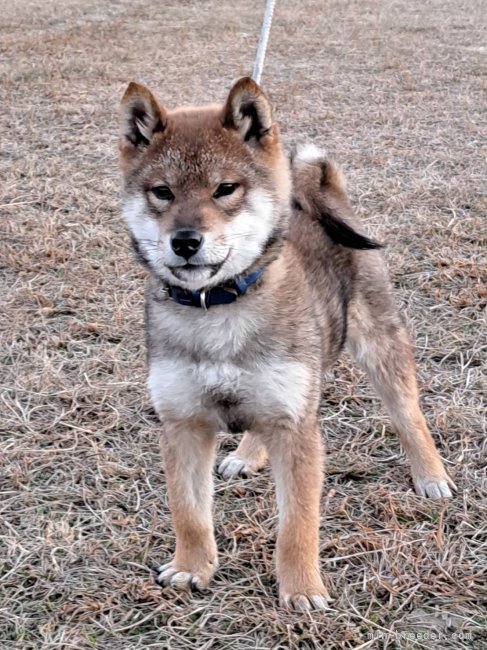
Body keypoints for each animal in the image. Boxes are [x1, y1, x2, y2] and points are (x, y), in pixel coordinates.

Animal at [119, 78, 458, 612]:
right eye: (162, 192)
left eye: (225, 189)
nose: (185, 241)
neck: (218, 308)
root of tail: (322, 196)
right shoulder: (183, 424)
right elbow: (188, 512)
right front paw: (193, 567)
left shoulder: (297, 429)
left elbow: (297, 522)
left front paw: (301, 588)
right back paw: (247, 454)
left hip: (380, 352)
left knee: (410, 418)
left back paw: (430, 475)